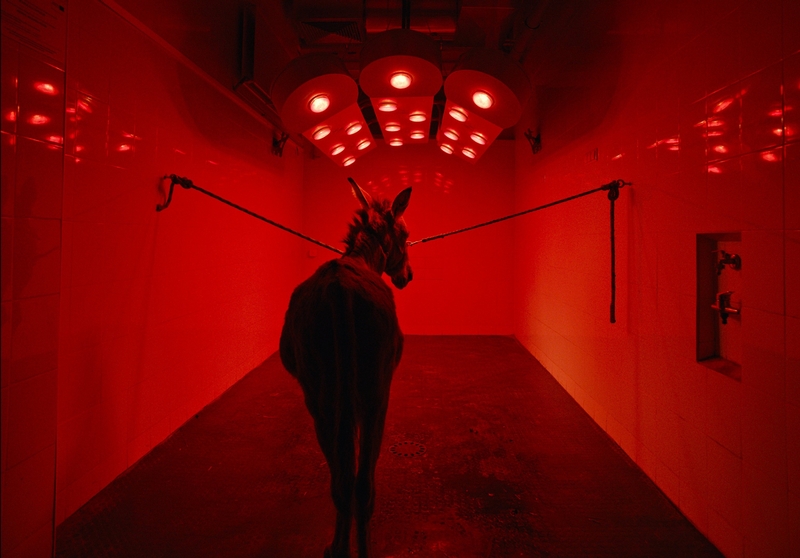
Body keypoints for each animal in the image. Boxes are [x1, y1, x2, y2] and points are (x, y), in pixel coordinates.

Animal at [279, 179, 413, 558]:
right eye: (405, 233)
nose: (408, 277)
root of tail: (340, 290)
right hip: (374, 396)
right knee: (360, 484)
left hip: (323, 400)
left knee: (344, 480)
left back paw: (339, 547)